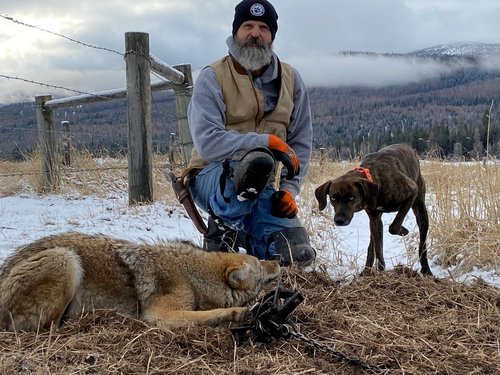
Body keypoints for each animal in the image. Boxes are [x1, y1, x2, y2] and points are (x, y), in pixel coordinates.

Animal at [0, 232, 282, 332]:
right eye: (260, 263)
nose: (278, 260)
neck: (193, 276)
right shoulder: (160, 315)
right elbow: (209, 314)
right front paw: (238, 312)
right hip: (66, 259)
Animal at [314, 144, 432, 276]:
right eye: (333, 198)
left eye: (351, 198)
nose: (339, 220)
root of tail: (410, 148)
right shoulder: (374, 219)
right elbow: (378, 248)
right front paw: (380, 271)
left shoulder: (411, 191)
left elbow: (393, 226)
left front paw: (403, 231)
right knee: (372, 246)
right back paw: (366, 270)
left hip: (420, 210)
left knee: (422, 243)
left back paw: (426, 269)